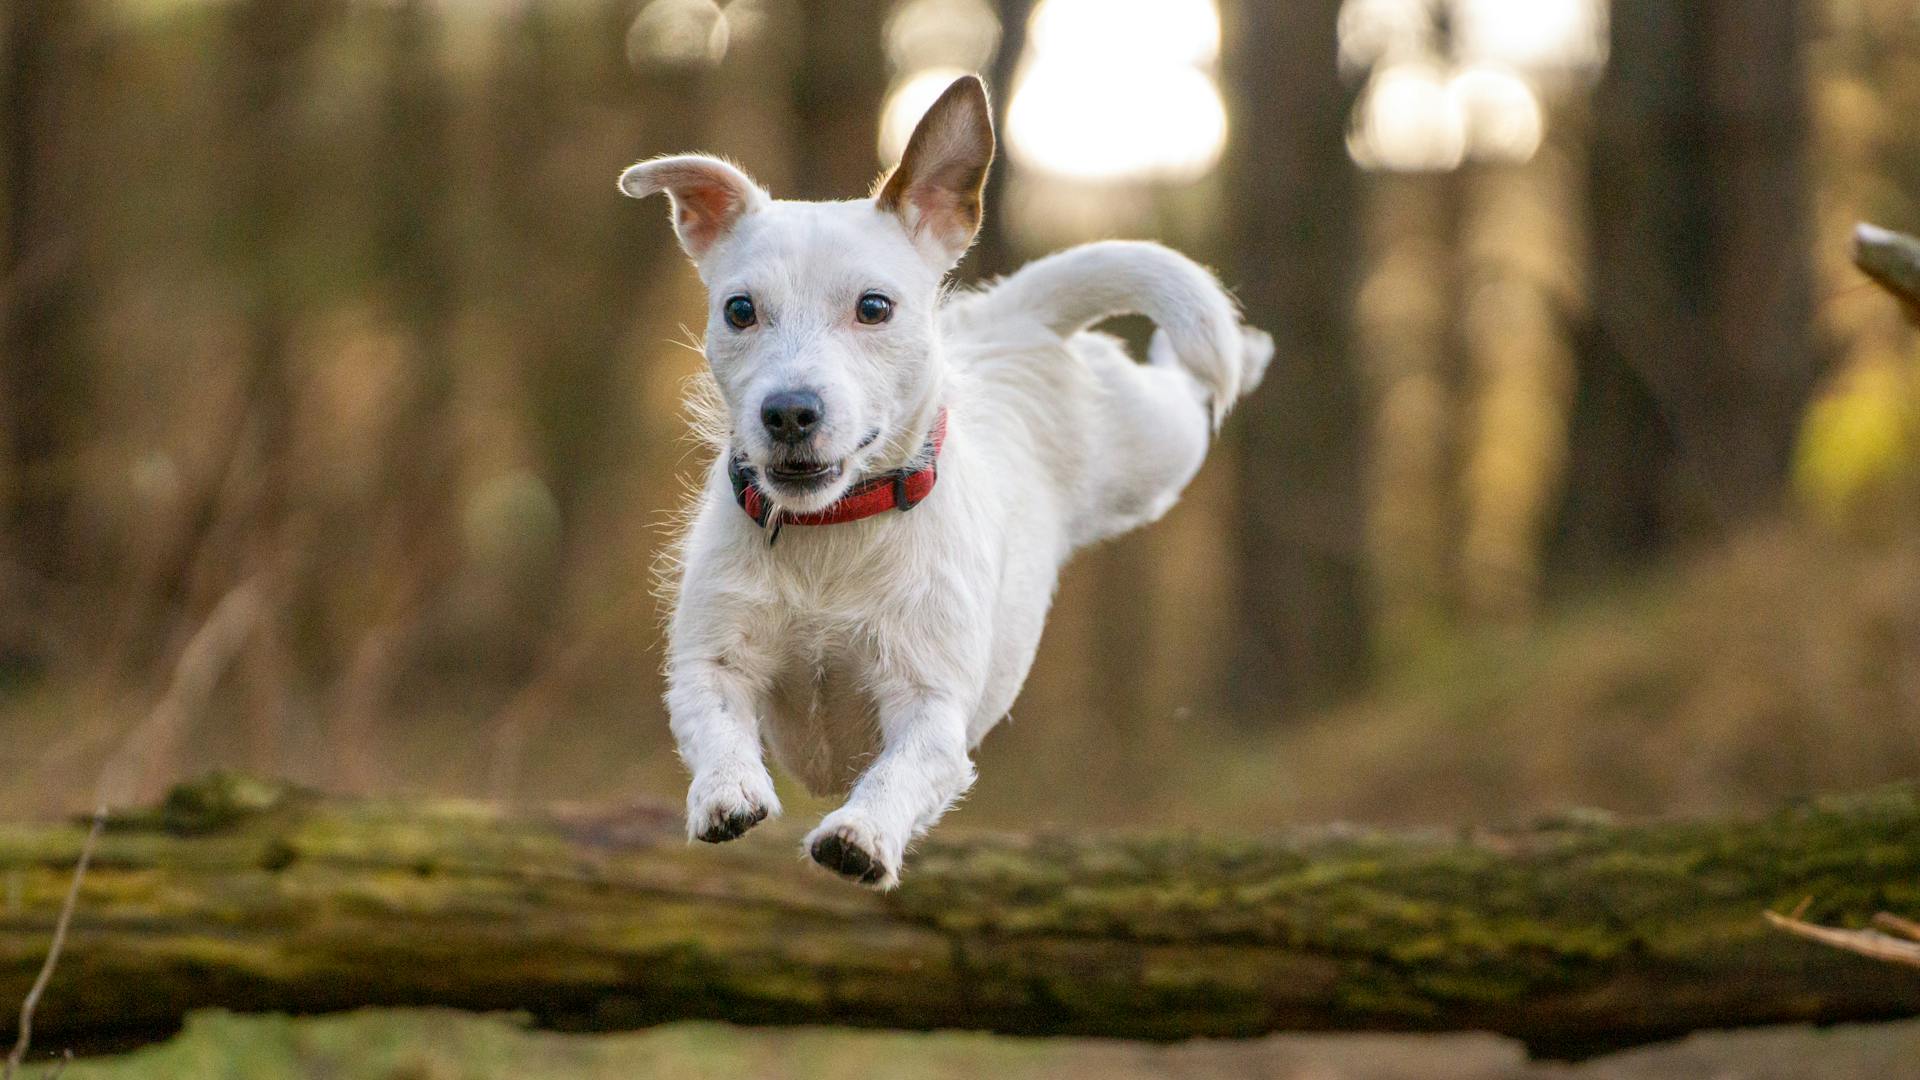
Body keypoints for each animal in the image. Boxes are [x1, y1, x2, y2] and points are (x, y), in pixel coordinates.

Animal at [622, 75, 1267, 883]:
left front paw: (861, 833)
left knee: (1186, 382)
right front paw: (728, 791)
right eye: (740, 310)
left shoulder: (929, 707)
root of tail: (1006, 320)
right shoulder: (714, 661)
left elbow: (903, 770)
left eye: (873, 307)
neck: (833, 530)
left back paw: (1239, 345)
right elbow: (715, 722)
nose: (790, 411)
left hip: (1153, 446)